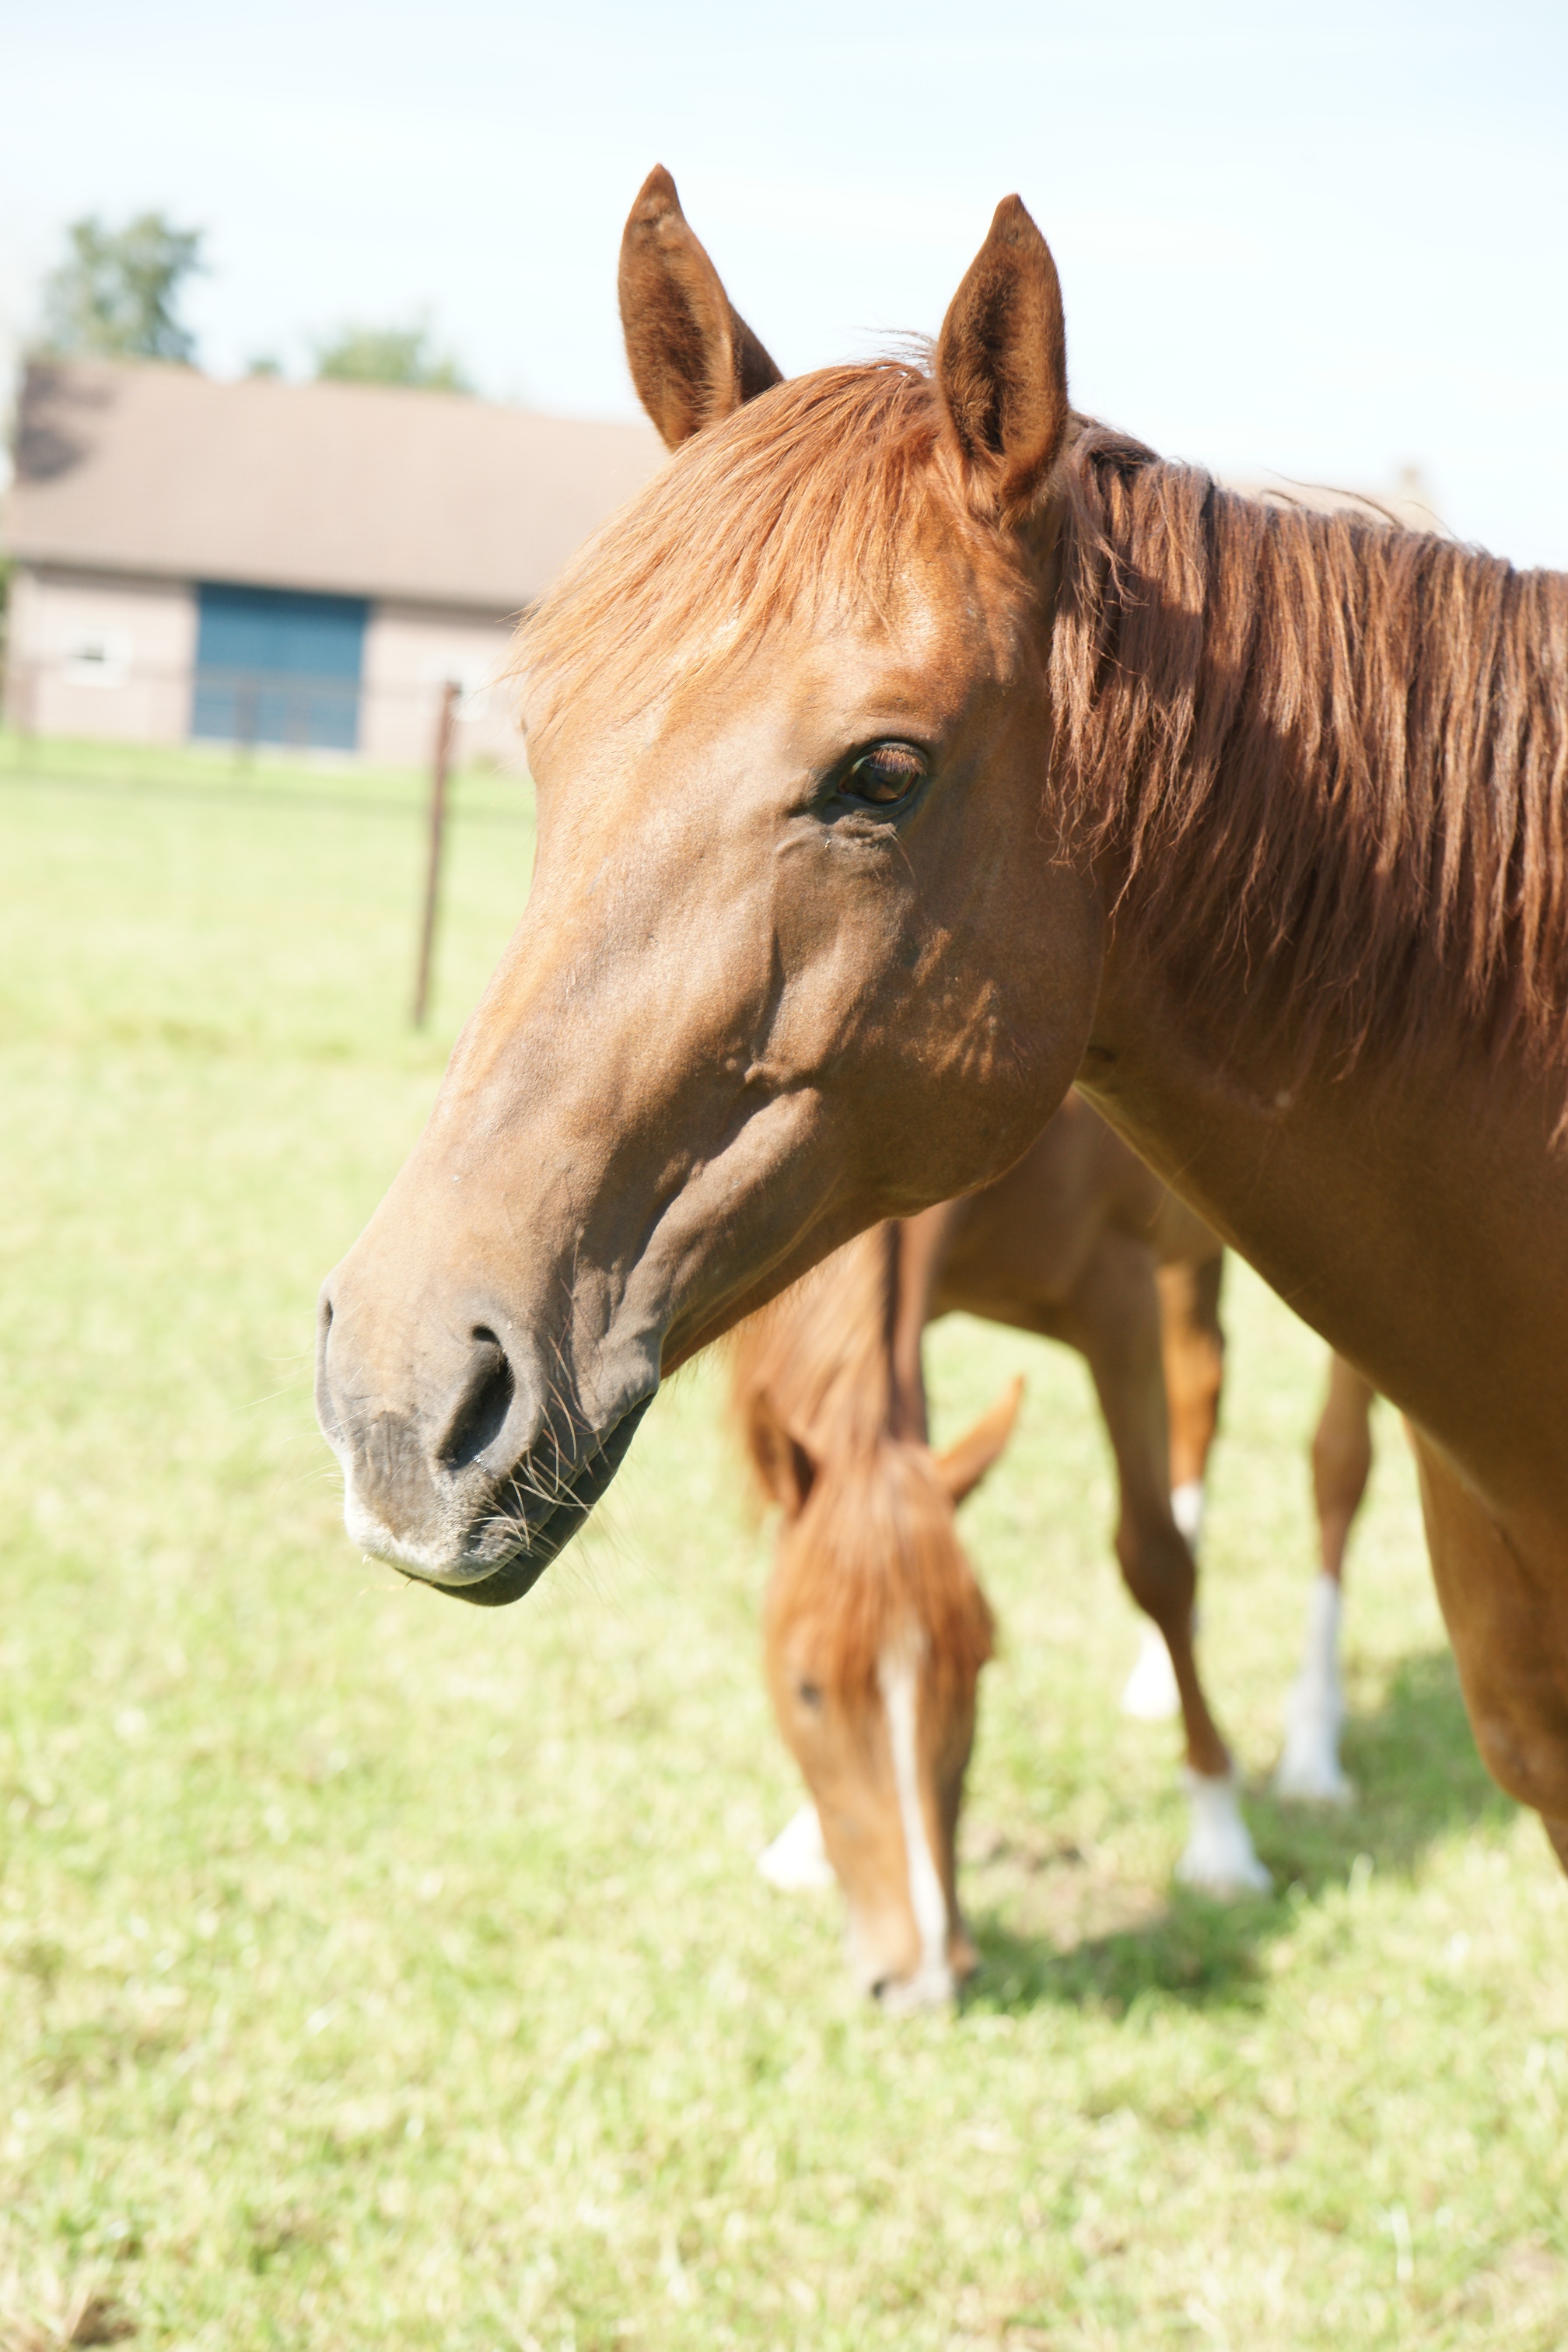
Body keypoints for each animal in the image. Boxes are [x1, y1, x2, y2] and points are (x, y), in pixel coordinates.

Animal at [734, 1092, 1371, 2005]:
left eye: (978, 1670)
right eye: (806, 1688)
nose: (924, 1975)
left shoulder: (1117, 1298)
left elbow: (1155, 1562)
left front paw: (1220, 1831)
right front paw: (804, 1839)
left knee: (1338, 1466)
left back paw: (1313, 1742)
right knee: (1202, 1387)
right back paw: (1160, 1677)